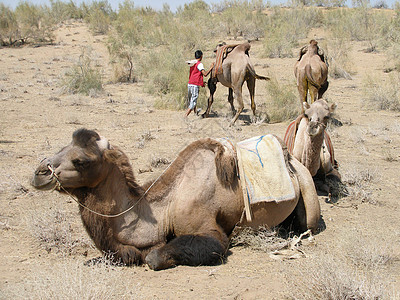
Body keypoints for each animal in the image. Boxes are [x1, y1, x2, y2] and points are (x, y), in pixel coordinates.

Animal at [32, 128, 322, 270]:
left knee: (308, 222)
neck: (164, 209)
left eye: (81, 161)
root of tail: (291, 157)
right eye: (63, 147)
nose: (39, 172)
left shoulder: (210, 231)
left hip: (307, 193)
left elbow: (154, 257)